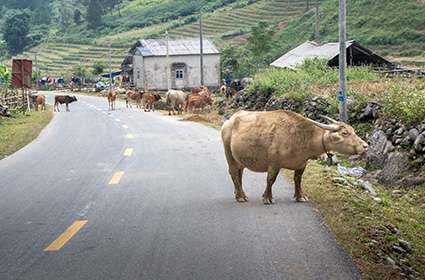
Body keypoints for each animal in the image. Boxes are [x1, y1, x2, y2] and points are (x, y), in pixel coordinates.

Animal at [222, 110, 368, 205]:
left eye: (353, 131)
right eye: (345, 133)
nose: (365, 146)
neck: (301, 137)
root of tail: (229, 121)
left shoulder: (301, 164)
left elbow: (298, 180)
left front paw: (300, 197)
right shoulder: (274, 164)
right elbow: (270, 180)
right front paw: (267, 198)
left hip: (240, 159)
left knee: (239, 173)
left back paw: (241, 194)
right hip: (229, 155)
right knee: (234, 173)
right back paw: (240, 197)